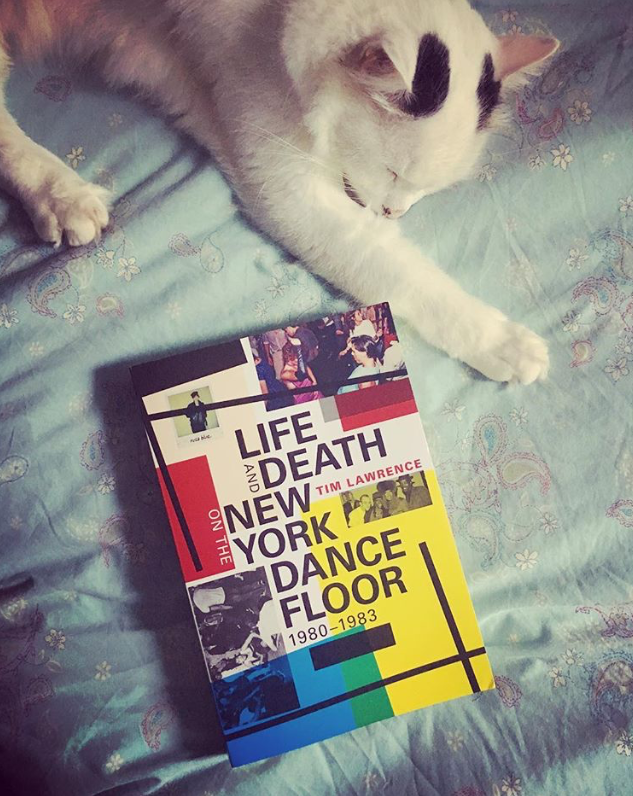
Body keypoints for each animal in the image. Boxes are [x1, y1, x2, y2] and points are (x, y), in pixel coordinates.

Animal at [0, 0, 558, 383]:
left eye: (428, 189)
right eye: (394, 172)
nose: (393, 213)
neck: (278, 18)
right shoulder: (289, 190)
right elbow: (400, 272)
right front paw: (502, 342)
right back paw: (60, 193)